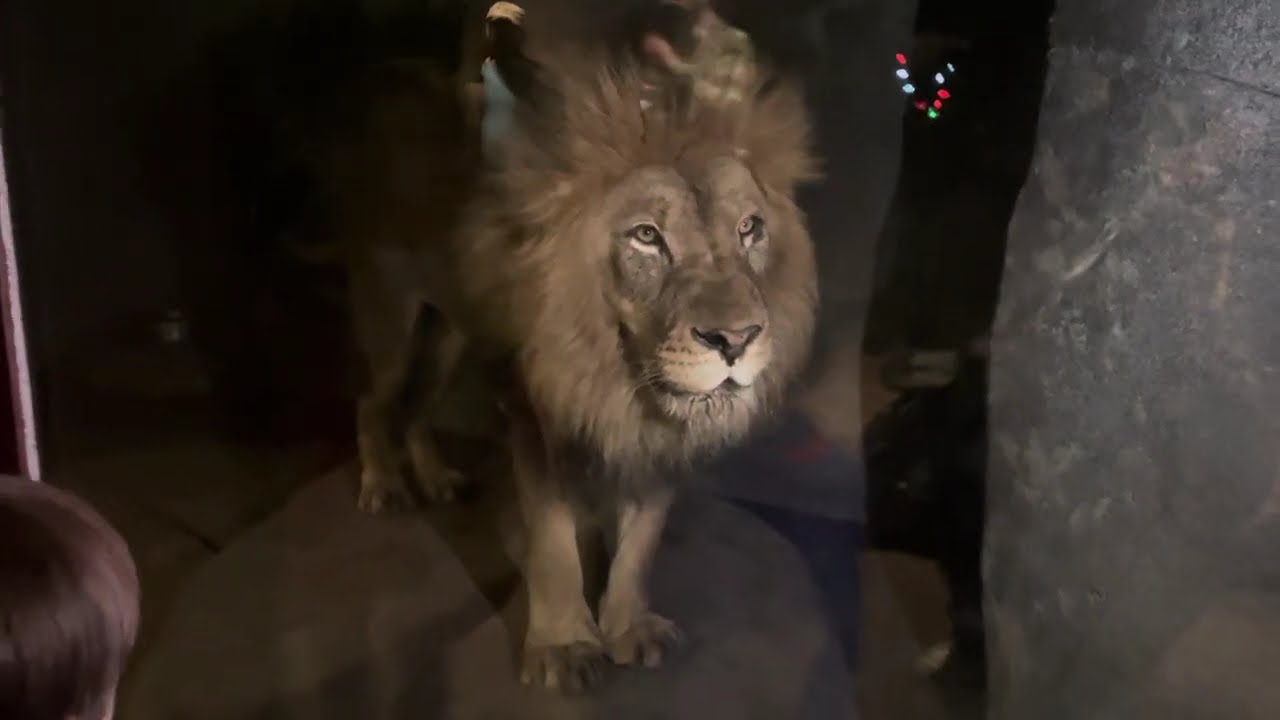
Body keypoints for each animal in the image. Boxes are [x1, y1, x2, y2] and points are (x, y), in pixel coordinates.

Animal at [309, 0, 820, 691]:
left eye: (750, 229)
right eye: (646, 236)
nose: (735, 340)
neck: (617, 375)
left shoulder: (656, 437)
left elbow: (642, 539)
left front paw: (628, 626)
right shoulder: (533, 413)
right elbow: (552, 541)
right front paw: (563, 646)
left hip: (454, 340)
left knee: (416, 410)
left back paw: (438, 479)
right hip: (388, 313)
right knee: (374, 400)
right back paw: (385, 486)